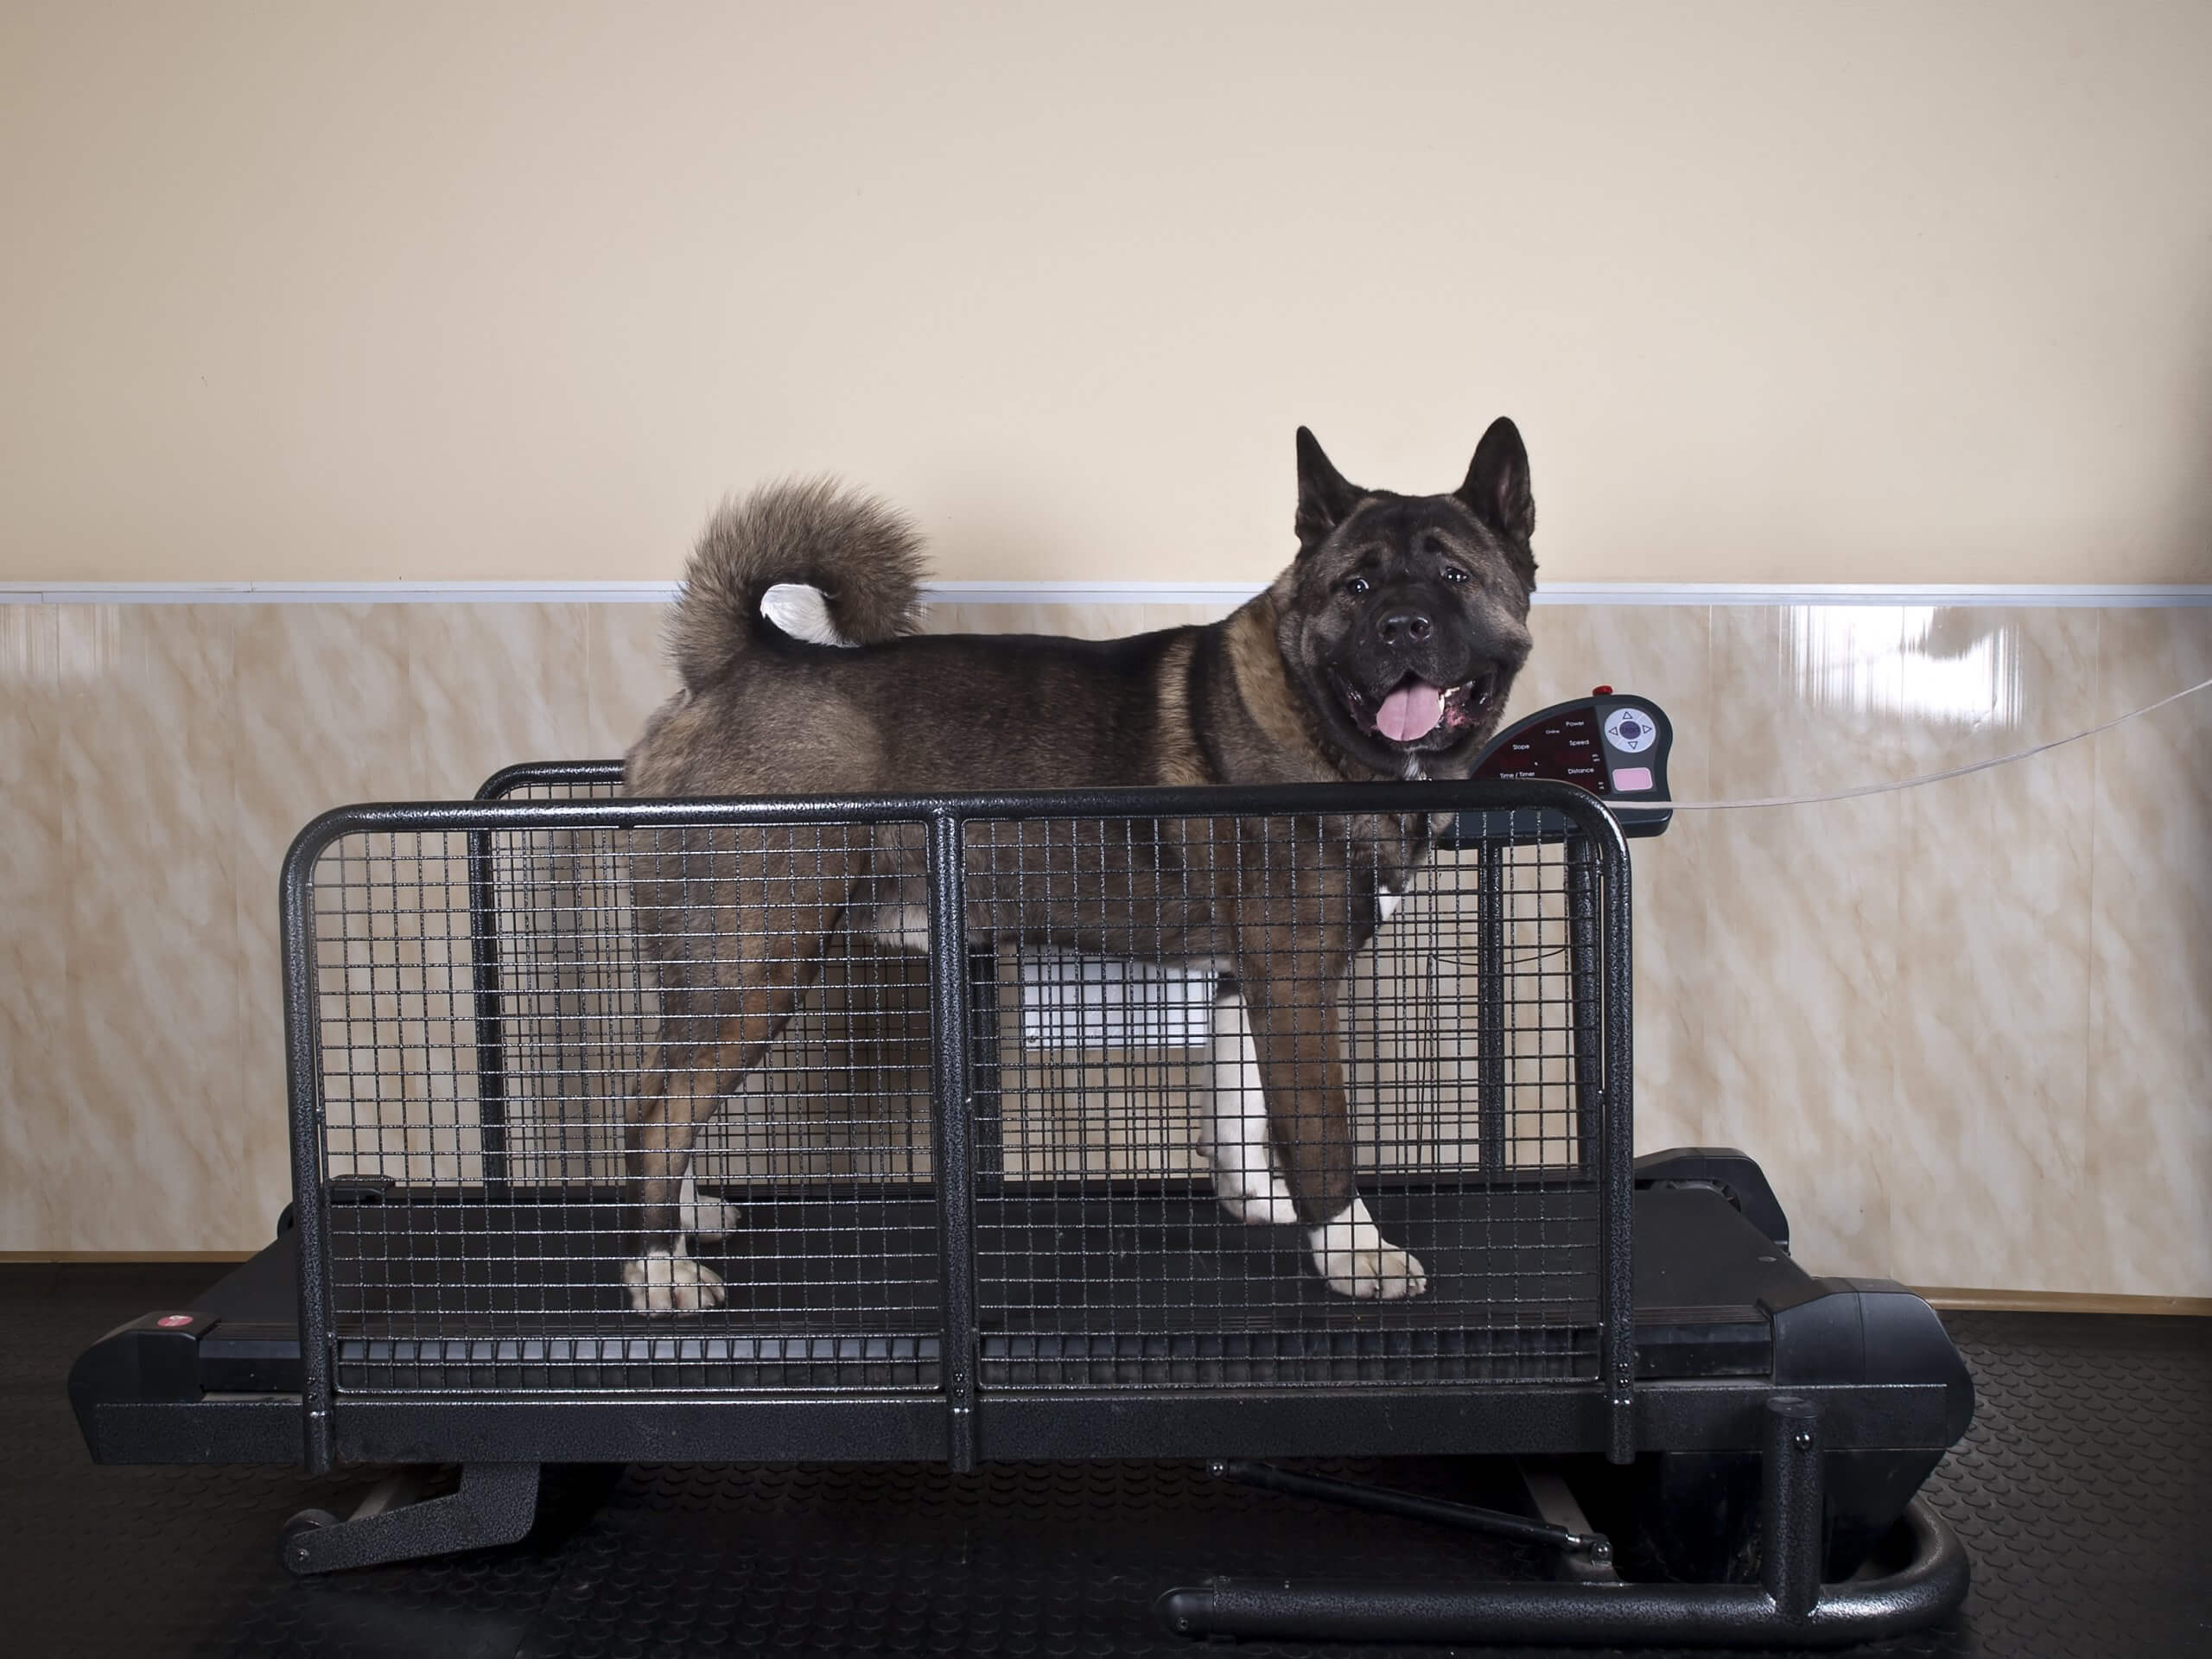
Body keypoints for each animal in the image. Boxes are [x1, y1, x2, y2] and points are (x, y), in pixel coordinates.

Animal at [614, 422, 1530, 1318]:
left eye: (1454, 575)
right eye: (1357, 588)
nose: (1402, 626)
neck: (1318, 712)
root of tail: (735, 664)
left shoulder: (1248, 985)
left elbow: (1239, 1116)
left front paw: (1259, 1202)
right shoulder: (1297, 982)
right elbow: (1323, 1139)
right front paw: (1353, 1252)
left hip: (711, 973)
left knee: (662, 1089)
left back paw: (681, 1220)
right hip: (755, 967)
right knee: (662, 1113)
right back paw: (660, 1268)